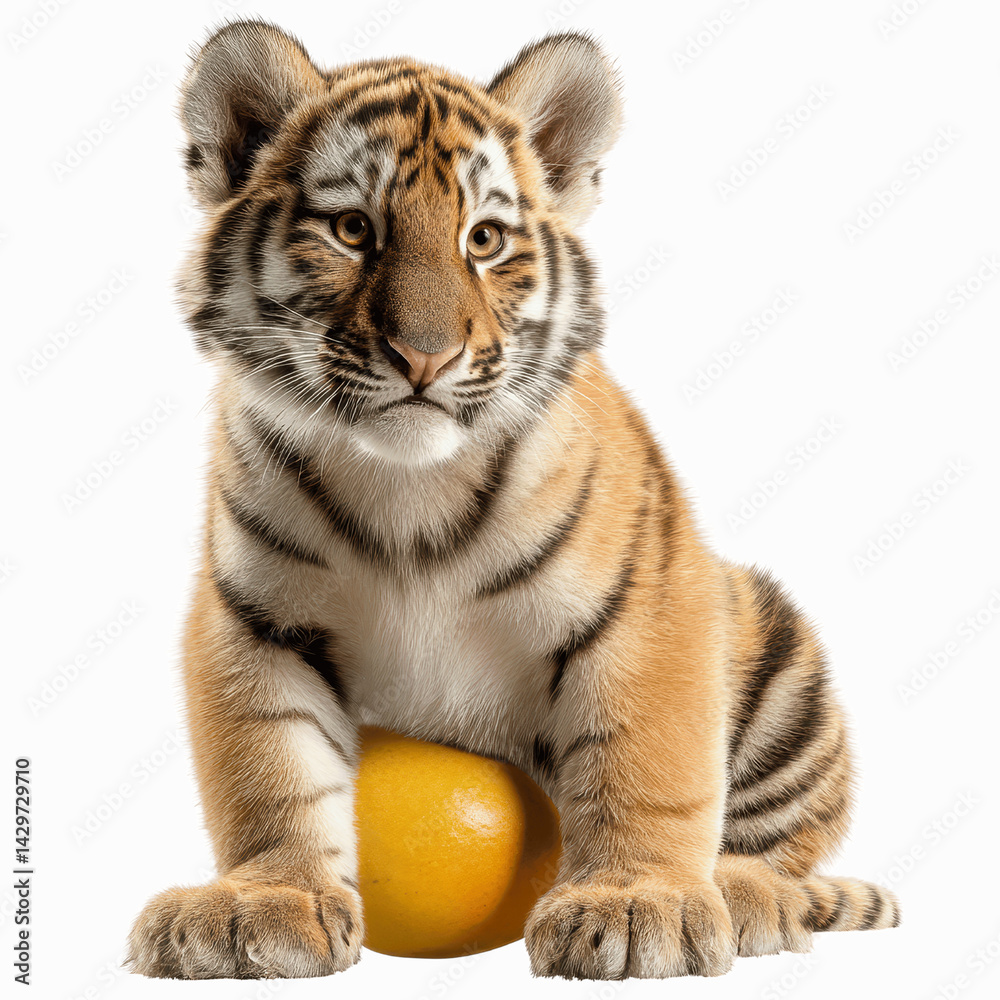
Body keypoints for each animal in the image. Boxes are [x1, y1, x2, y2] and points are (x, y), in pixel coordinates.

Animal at [123, 20, 900, 981]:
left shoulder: (649, 609)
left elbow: (647, 766)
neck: (408, 485)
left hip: (778, 661)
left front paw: (637, 904)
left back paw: (748, 895)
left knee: (778, 847)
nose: (425, 355)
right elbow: (271, 769)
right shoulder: (256, 620)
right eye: (352, 229)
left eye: (485, 239)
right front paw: (264, 900)